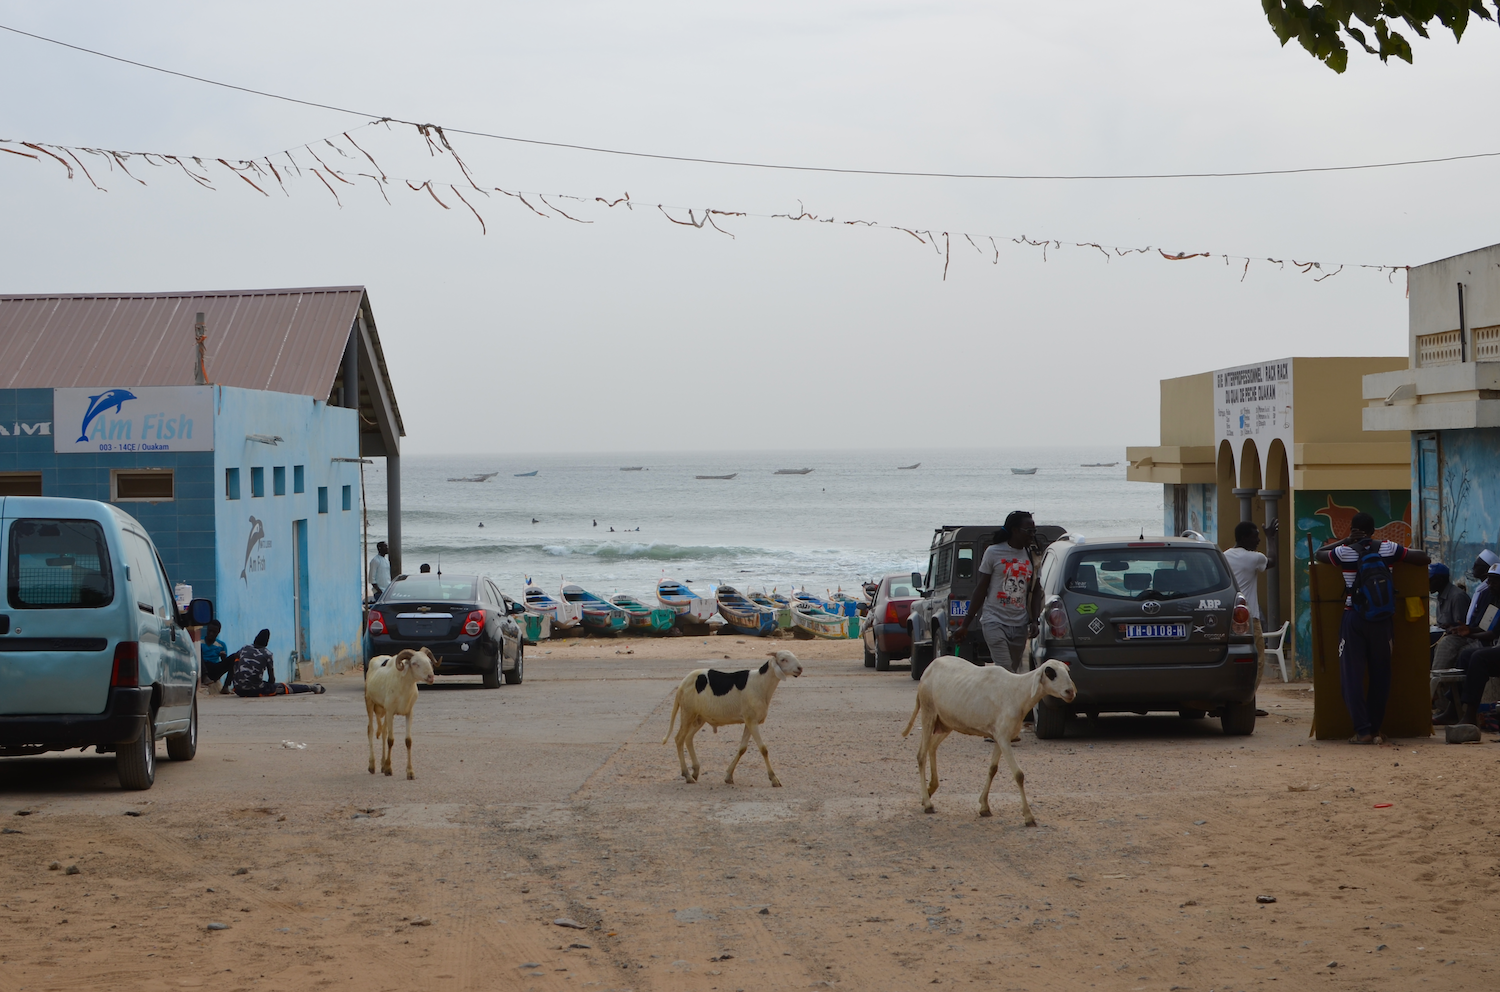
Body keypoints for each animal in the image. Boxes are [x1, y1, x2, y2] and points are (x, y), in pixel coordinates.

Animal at [364, 645, 438, 780]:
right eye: (414, 663)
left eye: (429, 662)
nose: (431, 677)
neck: (403, 690)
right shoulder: (390, 712)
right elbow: (391, 740)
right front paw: (389, 769)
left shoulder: (409, 713)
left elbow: (408, 741)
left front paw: (410, 772)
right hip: (370, 703)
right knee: (371, 730)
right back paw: (372, 765)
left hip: (383, 710)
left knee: (383, 732)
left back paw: (382, 765)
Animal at [663, 645, 804, 786]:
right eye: (783, 659)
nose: (800, 668)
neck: (760, 683)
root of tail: (682, 685)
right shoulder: (751, 720)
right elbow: (763, 749)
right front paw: (774, 779)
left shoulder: (749, 722)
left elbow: (742, 748)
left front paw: (729, 776)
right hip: (687, 712)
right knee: (679, 739)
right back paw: (687, 775)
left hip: (699, 717)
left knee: (688, 738)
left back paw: (695, 772)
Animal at [900, 657, 1080, 822]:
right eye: (1050, 673)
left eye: (1067, 671)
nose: (1070, 692)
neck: (1017, 693)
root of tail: (929, 668)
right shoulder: (1003, 738)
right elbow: (1019, 775)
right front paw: (1029, 816)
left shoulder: (1000, 736)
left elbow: (992, 769)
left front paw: (984, 806)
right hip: (928, 712)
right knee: (921, 755)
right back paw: (927, 803)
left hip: (946, 722)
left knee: (931, 747)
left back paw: (931, 789)